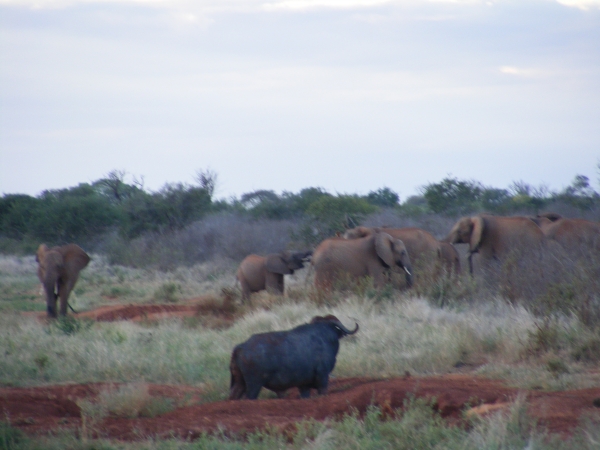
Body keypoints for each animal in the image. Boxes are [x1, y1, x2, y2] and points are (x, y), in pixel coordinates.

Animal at [229, 314, 360, 400]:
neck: (323, 336)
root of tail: (240, 347)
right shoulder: (323, 377)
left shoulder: (304, 386)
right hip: (254, 385)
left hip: (240, 383)